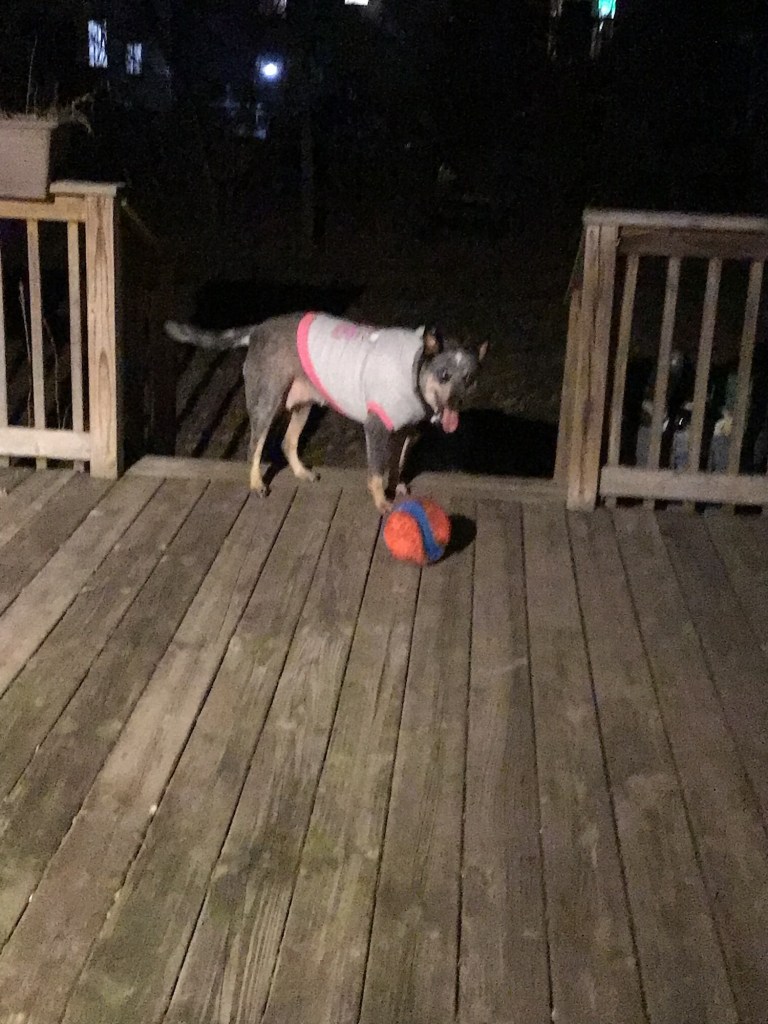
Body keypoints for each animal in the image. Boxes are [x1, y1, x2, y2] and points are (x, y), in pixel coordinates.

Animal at [165, 312, 487, 512]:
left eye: (470, 379)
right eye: (444, 375)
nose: (455, 403)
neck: (415, 367)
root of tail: (257, 329)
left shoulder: (407, 431)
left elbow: (398, 465)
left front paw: (398, 487)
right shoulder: (376, 428)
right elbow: (377, 472)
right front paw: (382, 502)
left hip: (303, 406)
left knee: (288, 442)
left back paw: (301, 472)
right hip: (267, 402)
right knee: (255, 446)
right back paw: (257, 484)